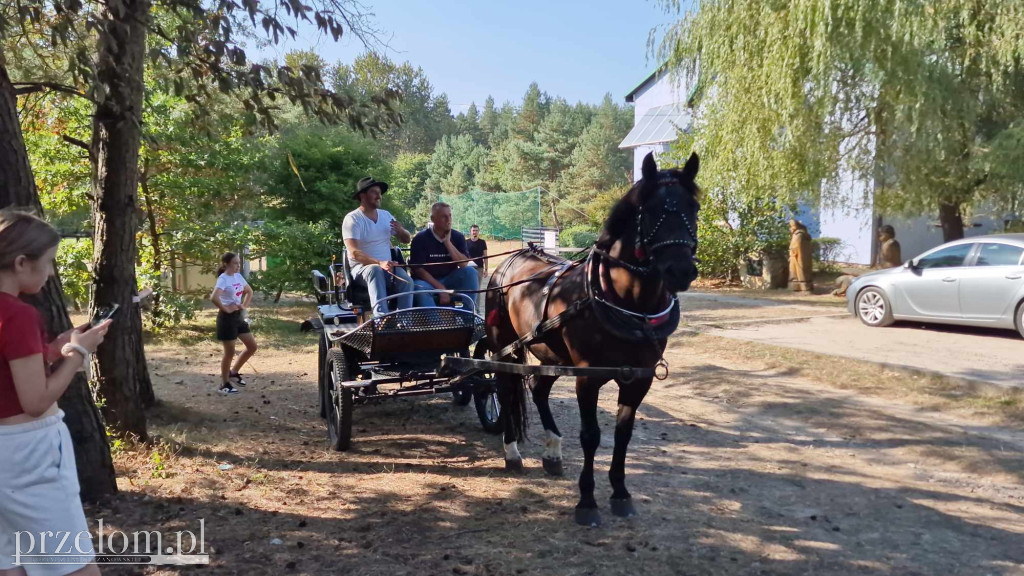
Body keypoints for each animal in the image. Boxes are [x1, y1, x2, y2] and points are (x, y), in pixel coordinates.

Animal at [483, 148, 700, 524]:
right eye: (651, 210)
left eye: (694, 208)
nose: (681, 270)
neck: (628, 304)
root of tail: (514, 258)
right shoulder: (587, 376)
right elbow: (590, 436)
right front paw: (586, 501)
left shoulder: (639, 378)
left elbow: (622, 435)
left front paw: (621, 493)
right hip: (503, 348)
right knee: (506, 387)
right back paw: (511, 452)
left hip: (550, 352)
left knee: (537, 388)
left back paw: (553, 451)